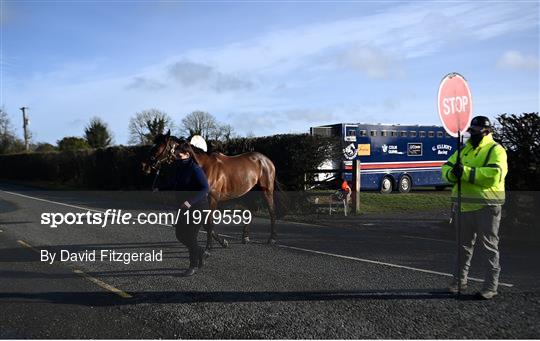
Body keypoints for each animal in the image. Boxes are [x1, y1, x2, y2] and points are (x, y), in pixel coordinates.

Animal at [139, 130, 284, 247]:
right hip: (248, 192)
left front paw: (215, 244)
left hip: (266, 191)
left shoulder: (212, 199)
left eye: (157, 148)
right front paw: (222, 242)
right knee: (252, 209)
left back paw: (271, 239)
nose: (144, 166)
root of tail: (267, 160)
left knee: (272, 211)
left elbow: (208, 222)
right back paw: (245, 237)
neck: (203, 166)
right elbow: (205, 223)